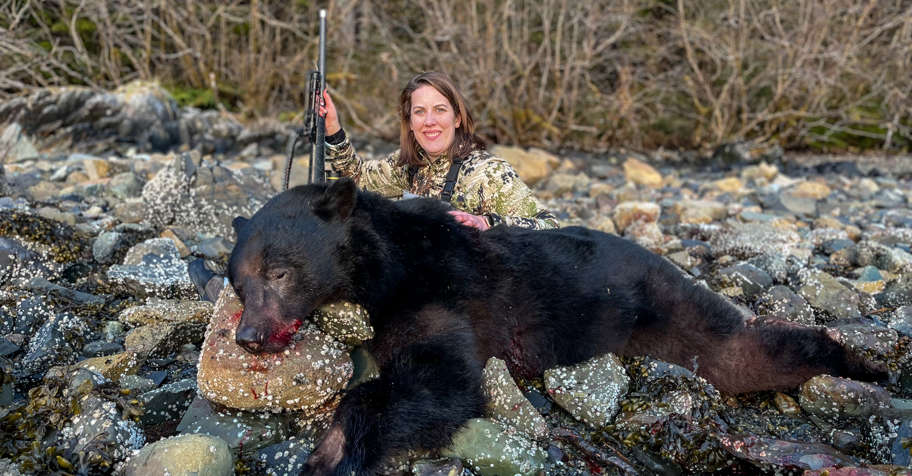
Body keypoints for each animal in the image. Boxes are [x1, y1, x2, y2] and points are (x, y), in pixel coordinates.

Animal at [227, 178, 883, 475]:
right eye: (238, 281)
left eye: (280, 272)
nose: (247, 337)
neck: (388, 261)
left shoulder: (439, 291)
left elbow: (440, 382)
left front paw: (330, 453)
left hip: (666, 305)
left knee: (741, 353)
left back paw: (859, 364)